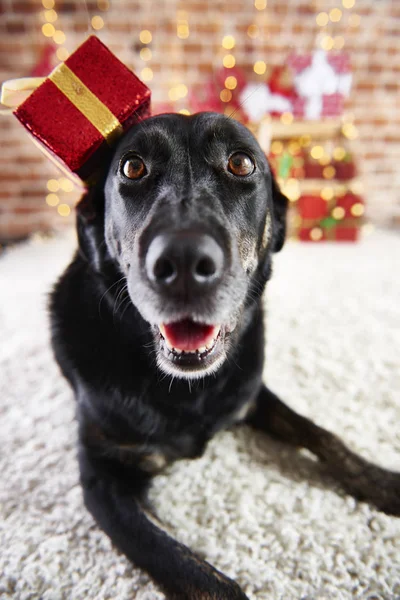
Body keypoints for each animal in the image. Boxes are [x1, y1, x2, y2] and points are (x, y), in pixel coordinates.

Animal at [50, 113, 400, 600]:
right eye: (132, 167)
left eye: (241, 162)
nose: (182, 261)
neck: (187, 390)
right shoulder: (103, 478)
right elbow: (199, 574)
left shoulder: (249, 392)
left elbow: (323, 436)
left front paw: (385, 483)